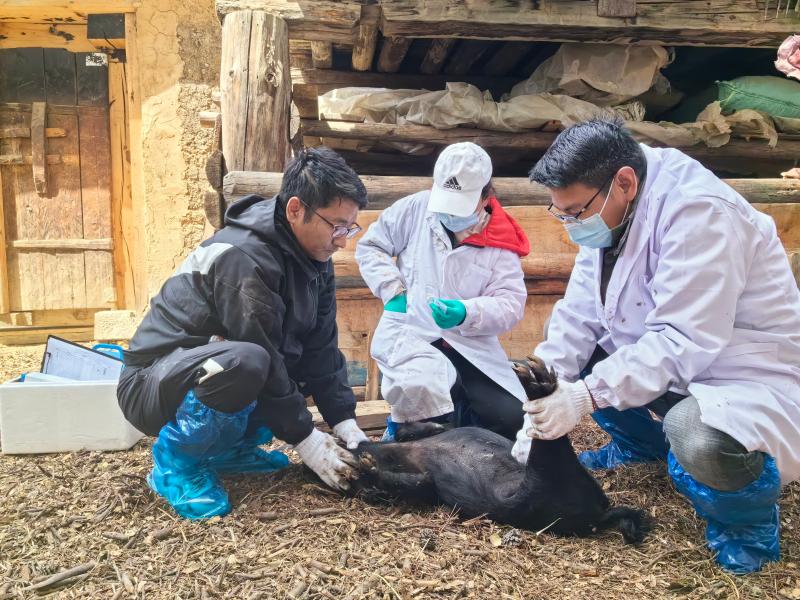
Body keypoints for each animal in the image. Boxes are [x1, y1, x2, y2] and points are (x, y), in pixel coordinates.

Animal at [349, 356, 650, 544]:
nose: (356, 448)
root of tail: (601, 515)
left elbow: (412, 432)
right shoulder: (425, 485)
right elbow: (416, 482)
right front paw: (367, 466)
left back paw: (535, 378)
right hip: (542, 483)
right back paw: (537, 382)